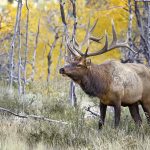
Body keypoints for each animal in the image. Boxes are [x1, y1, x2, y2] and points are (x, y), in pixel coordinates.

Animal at [58, 0, 150, 128]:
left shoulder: (118, 100)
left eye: (80, 64)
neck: (103, 85)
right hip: (133, 102)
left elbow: (116, 124)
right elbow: (100, 123)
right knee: (139, 122)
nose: (62, 69)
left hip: (146, 99)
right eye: (71, 61)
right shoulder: (102, 102)